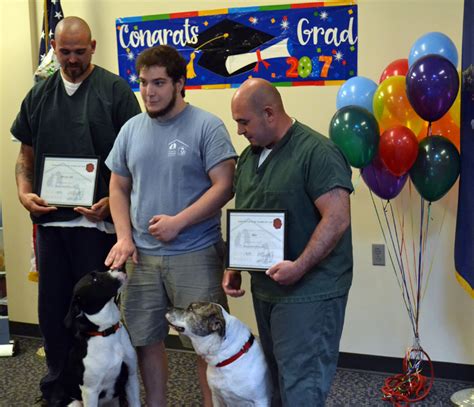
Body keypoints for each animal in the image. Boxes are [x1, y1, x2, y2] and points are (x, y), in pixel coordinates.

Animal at [51, 270, 142, 406]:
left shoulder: (131, 377)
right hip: (75, 402)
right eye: (94, 280)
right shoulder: (90, 391)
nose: (119, 269)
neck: (107, 331)